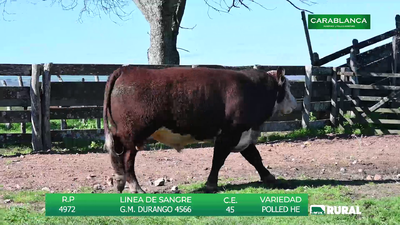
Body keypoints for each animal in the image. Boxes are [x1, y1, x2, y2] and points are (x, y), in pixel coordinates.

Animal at [103, 65, 296, 193]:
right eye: (287, 87)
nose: (295, 104)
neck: (252, 89)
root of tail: (127, 69)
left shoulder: (243, 135)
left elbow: (254, 157)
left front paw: (269, 177)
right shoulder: (229, 134)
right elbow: (218, 160)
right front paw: (210, 184)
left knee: (117, 156)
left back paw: (120, 182)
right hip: (133, 135)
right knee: (127, 160)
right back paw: (136, 188)